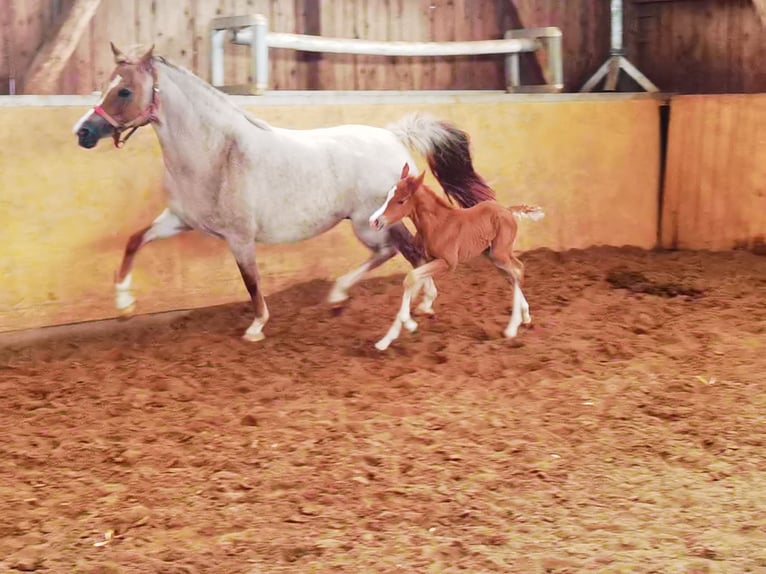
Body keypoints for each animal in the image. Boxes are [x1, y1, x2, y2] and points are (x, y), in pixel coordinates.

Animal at [75, 46, 496, 342]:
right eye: (106, 84)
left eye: (124, 90)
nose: (83, 132)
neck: (217, 153)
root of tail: (394, 137)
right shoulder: (178, 220)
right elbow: (134, 241)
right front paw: (124, 305)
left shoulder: (239, 238)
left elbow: (251, 281)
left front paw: (256, 327)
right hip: (368, 224)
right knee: (393, 252)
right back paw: (341, 298)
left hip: (371, 222)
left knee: (407, 251)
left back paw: (419, 303)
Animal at [368, 162, 544, 352]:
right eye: (387, 196)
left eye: (401, 200)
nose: (374, 221)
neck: (437, 224)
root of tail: (508, 211)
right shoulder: (425, 258)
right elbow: (418, 282)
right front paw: (388, 338)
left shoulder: (448, 262)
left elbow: (411, 278)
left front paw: (410, 322)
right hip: (493, 256)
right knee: (513, 274)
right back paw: (526, 318)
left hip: (499, 253)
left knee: (517, 271)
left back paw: (512, 329)